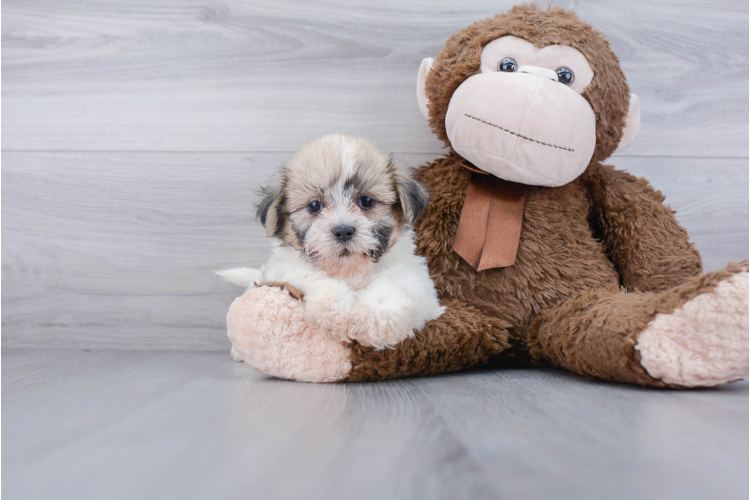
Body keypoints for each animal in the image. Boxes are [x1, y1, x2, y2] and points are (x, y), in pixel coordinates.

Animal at [222, 134, 446, 352]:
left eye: (366, 201)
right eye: (314, 206)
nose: (343, 230)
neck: (348, 271)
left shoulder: (417, 283)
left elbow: (390, 288)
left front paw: (374, 320)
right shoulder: (286, 270)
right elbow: (319, 280)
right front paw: (341, 313)